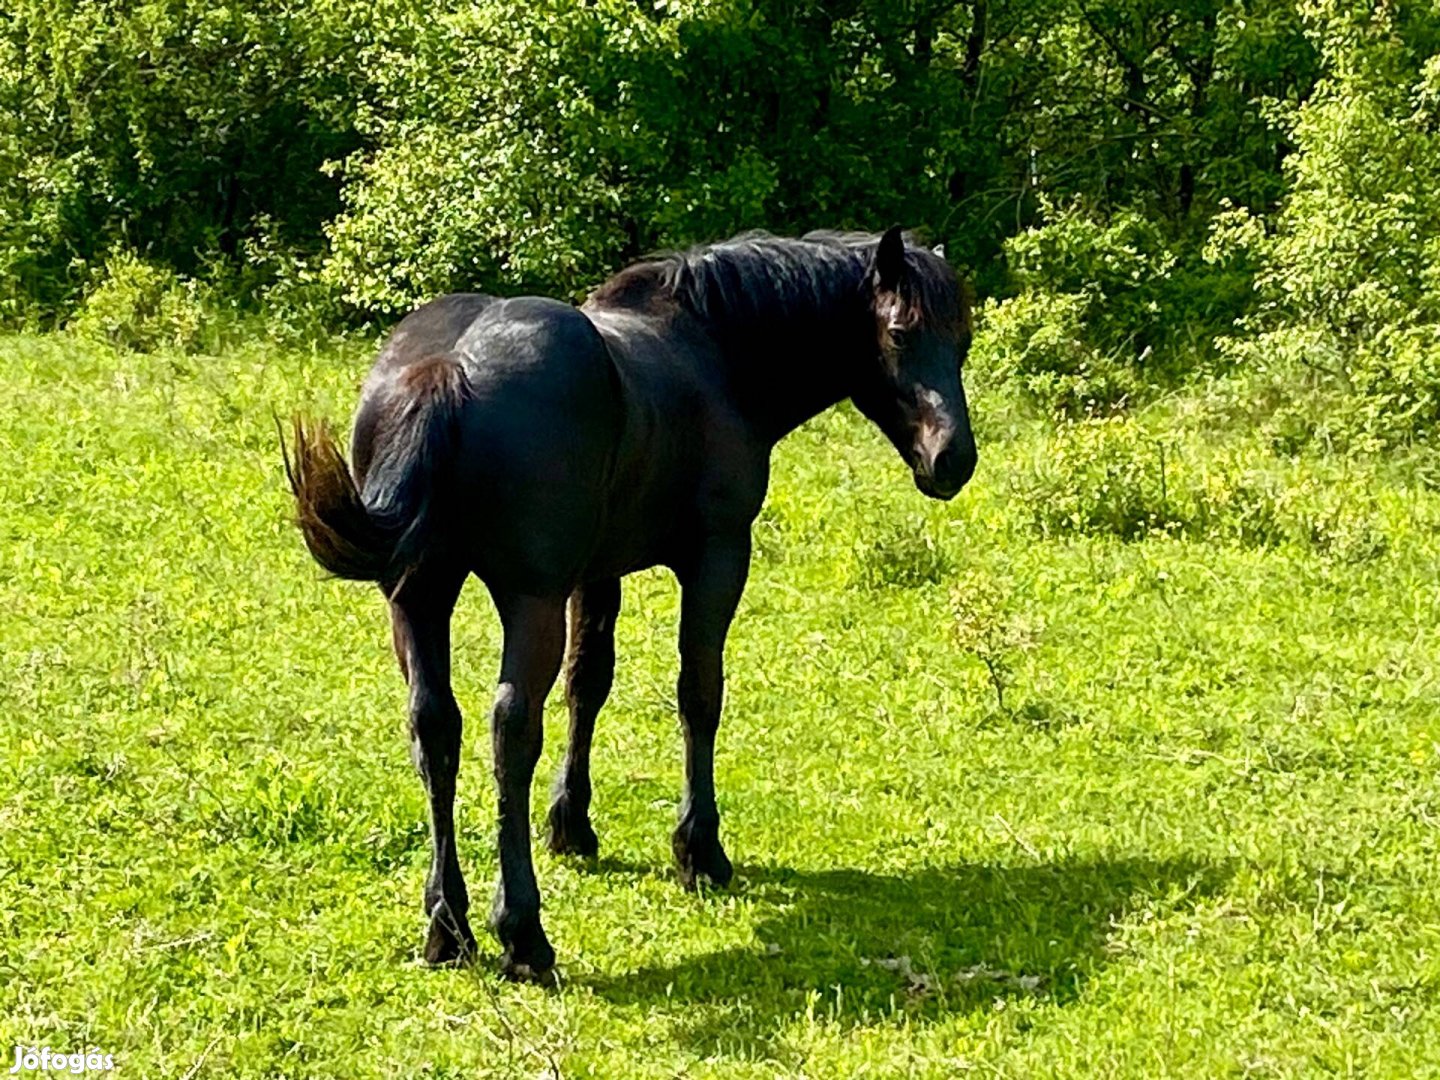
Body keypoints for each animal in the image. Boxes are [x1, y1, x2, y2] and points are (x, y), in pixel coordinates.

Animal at [283, 233, 979, 984]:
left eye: (963, 340)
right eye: (901, 333)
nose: (953, 460)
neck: (712, 349)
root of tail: (448, 367)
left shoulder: (595, 574)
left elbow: (588, 684)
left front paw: (573, 826)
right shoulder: (717, 555)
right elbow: (698, 693)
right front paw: (699, 849)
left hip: (419, 597)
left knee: (435, 727)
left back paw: (448, 926)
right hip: (527, 601)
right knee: (510, 731)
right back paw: (522, 933)